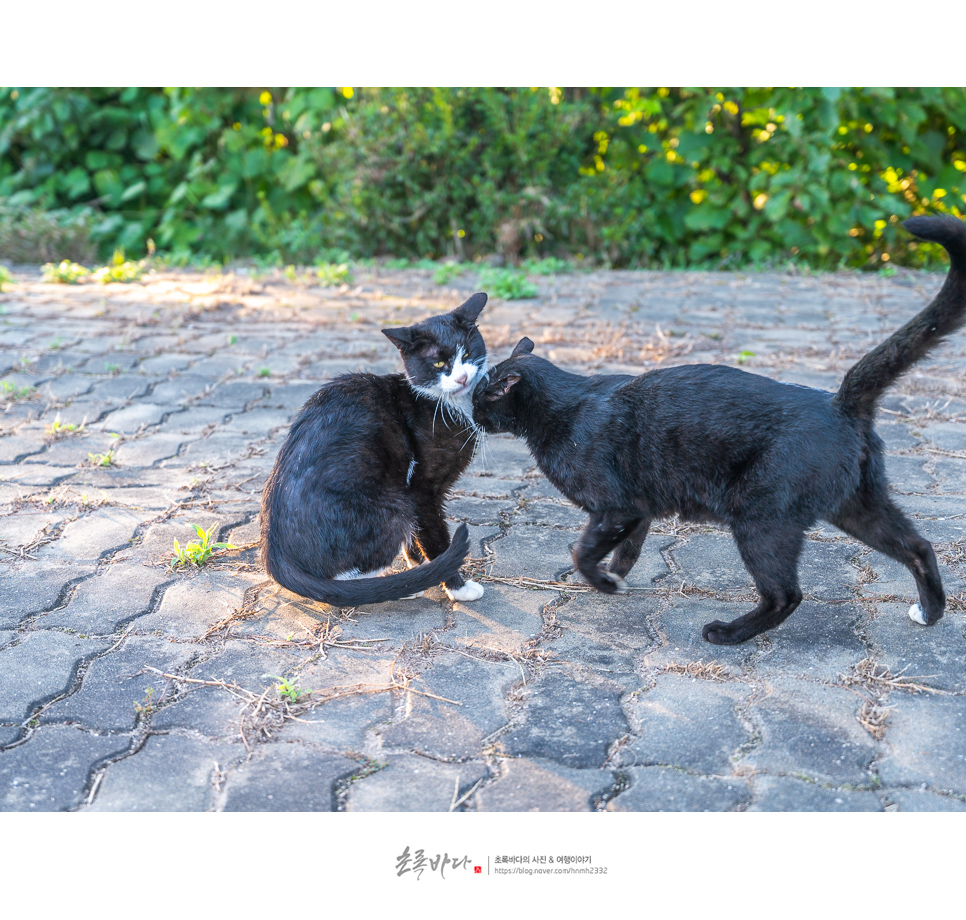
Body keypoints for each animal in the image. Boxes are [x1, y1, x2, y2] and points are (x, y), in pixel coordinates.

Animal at [262, 294, 492, 608]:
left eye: (467, 353)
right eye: (439, 362)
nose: (461, 379)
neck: (445, 405)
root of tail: (275, 554)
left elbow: (416, 536)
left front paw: (419, 567)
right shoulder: (421, 490)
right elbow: (436, 539)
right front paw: (456, 586)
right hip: (392, 504)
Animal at [476, 218, 966, 644]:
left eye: (481, 393)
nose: (473, 413)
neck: (566, 405)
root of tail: (839, 403)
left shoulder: (614, 506)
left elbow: (582, 551)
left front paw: (602, 582)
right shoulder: (637, 507)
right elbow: (627, 547)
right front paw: (616, 575)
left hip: (760, 518)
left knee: (786, 595)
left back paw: (728, 634)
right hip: (857, 506)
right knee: (919, 546)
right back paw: (930, 612)